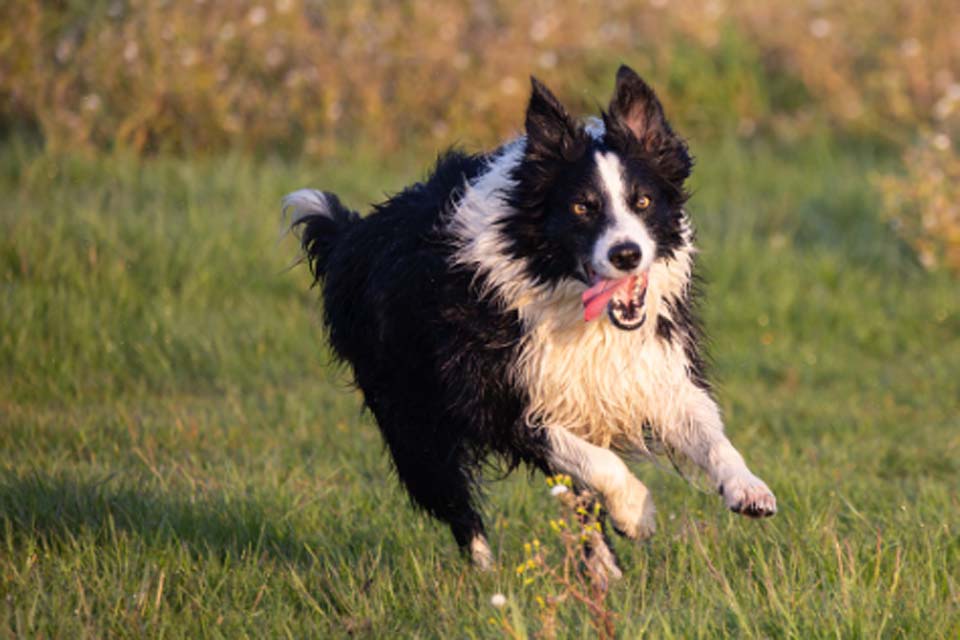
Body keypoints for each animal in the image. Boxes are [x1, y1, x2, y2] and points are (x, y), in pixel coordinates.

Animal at [282, 66, 776, 576]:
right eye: (581, 207)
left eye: (642, 201)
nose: (626, 254)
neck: (564, 293)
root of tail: (351, 234)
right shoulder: (498, 394)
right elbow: (594, 461)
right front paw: (636, 513)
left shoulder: (651, 368)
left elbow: (706, 431)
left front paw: (747, 488)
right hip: (411, 417)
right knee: (456, 503)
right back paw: (489, 575)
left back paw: (604, 572)